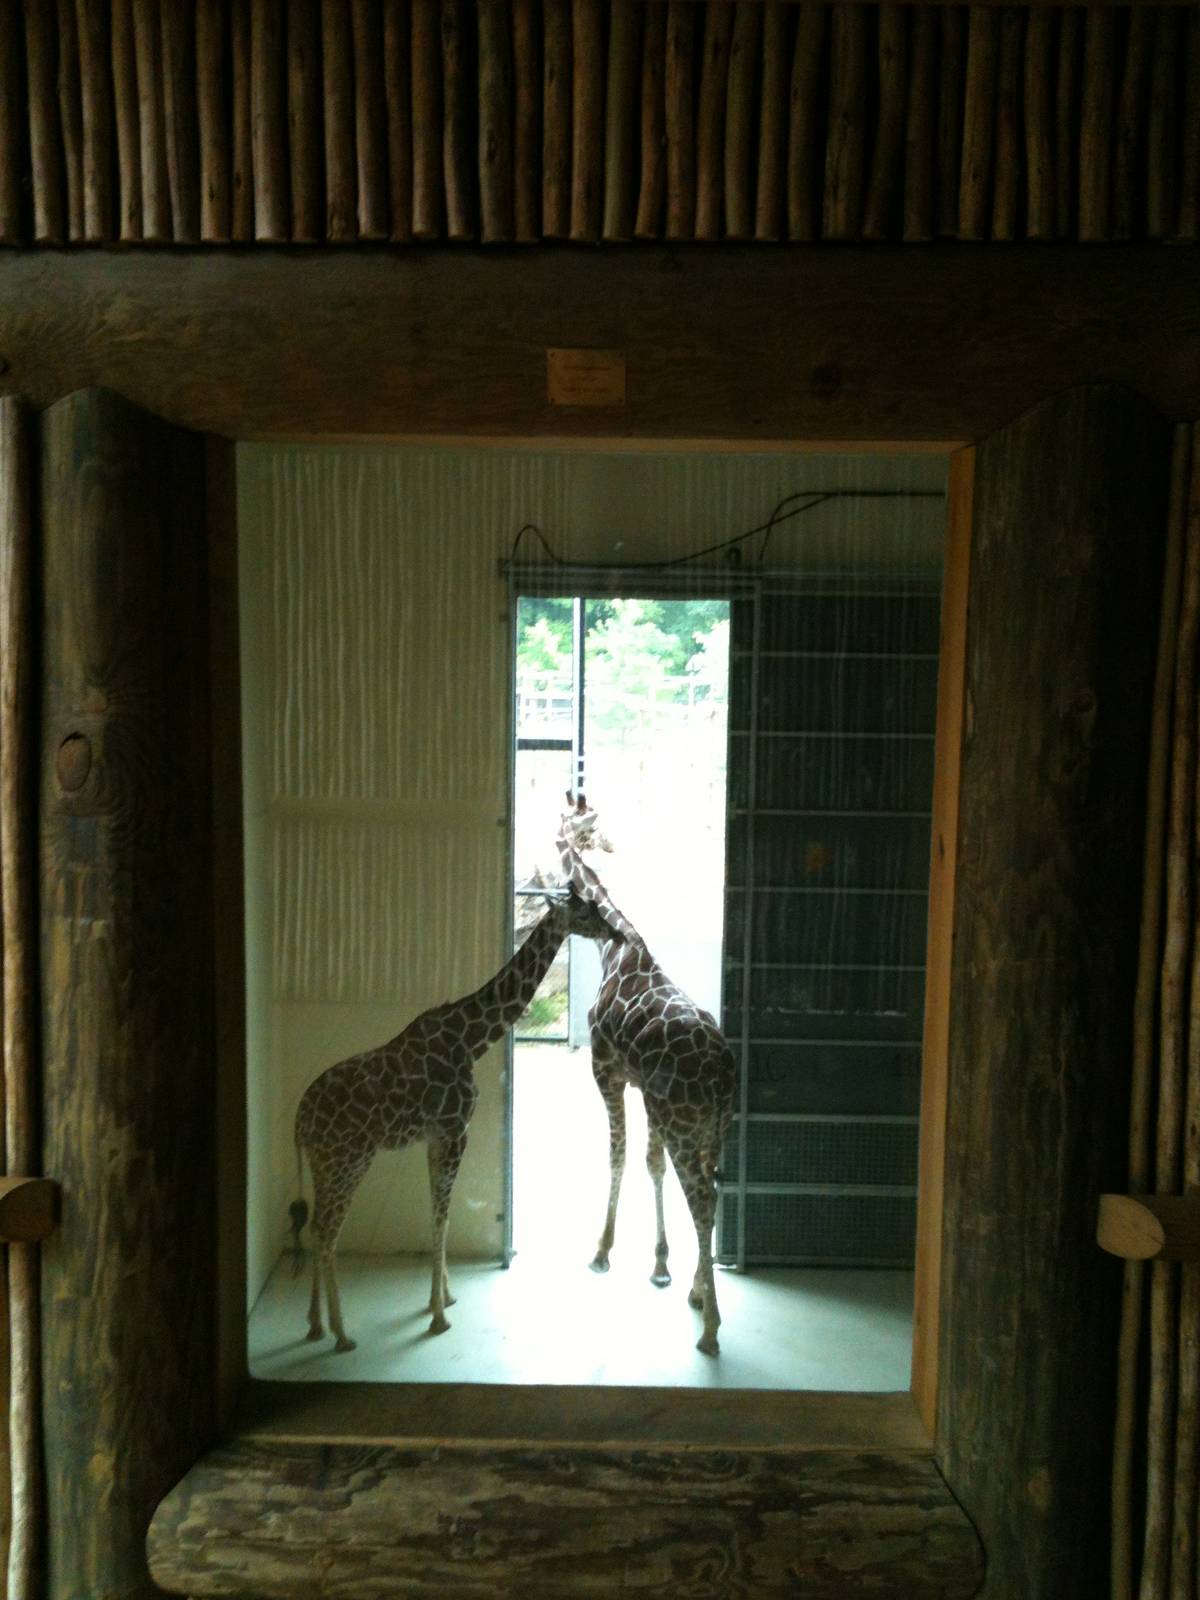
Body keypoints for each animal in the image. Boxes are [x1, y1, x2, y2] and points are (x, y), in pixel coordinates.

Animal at [294, 887, 611, 1351]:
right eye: (587, 911)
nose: (616, 933)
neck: (470, 1039)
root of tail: (298, 1120)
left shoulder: (436, 1136)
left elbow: (437, 1212)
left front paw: (443, 1297)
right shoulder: (455, 1128)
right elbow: (443, 1215)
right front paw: (439, 1316)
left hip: (323, 1161)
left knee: (316, 1227)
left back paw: (315, 1323)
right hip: (349, 1158)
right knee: (326, 1232)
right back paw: (342, 1333)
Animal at [558, 795, 737, 1355]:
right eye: (588, 821)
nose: (607, 843)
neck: (614, 946)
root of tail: (723, 1071)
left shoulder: (605, 1069)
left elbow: (617, 1156)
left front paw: (601, 1251)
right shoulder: (646, 1092)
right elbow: (650, 1164)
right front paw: (660, 1265)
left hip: (685, 1125)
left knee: (702, 1198)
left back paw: (710, 1331)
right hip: (714, 1127)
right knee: (711, 1192)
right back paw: (698, 1294)